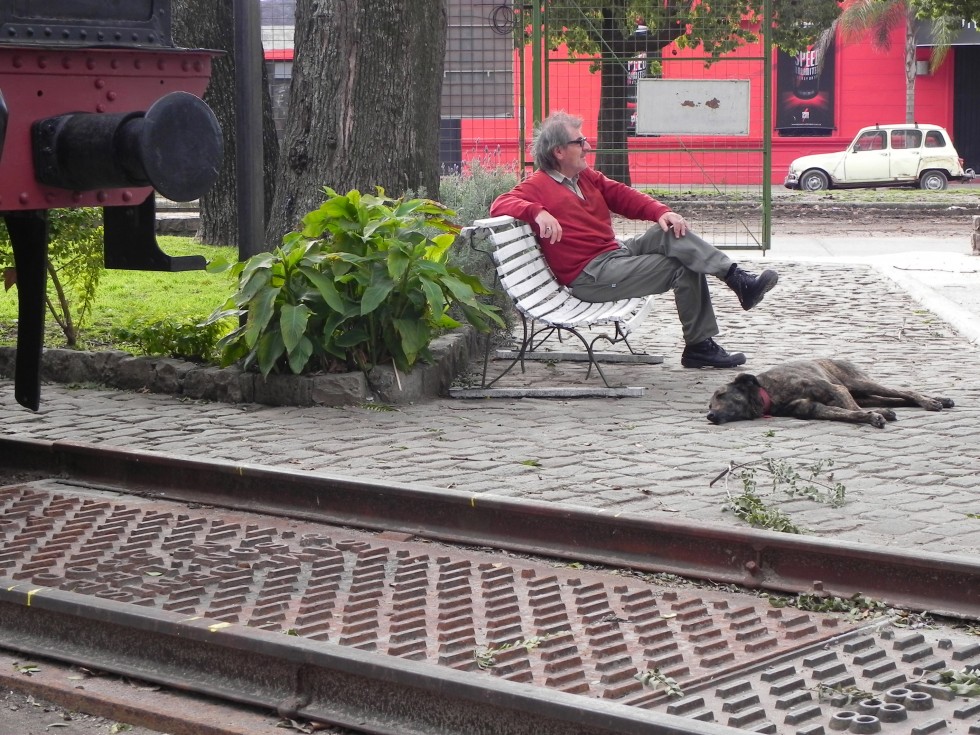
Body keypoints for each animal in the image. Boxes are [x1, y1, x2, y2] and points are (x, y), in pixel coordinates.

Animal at [708, 360, 952, 428]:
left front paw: (874, 417)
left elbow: (851, 409)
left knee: (905, 391)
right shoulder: (816, 409)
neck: (769, 392)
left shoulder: (836, 390)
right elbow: (849, 413)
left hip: (859, 383)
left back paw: (931, 402)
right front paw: (872, 416)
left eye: (720, 395)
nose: (709, 416)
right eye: (709, 406)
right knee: (897, 399)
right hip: (863, 394)